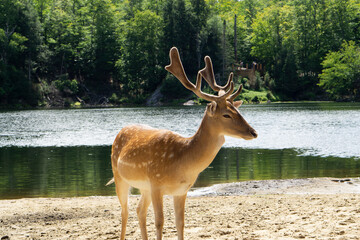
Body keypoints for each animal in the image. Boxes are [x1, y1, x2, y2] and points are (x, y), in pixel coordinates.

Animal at [108, 47, 258, 240]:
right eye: (226, 114)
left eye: (238, 110)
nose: (253, 132)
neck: (182, 162)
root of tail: (120, 132)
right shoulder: (156, 184)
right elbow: (160, 222)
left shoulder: (182, 190)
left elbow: (181, 223)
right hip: (119, 176)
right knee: (124, 211)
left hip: (143, 187)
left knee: (139, 210)